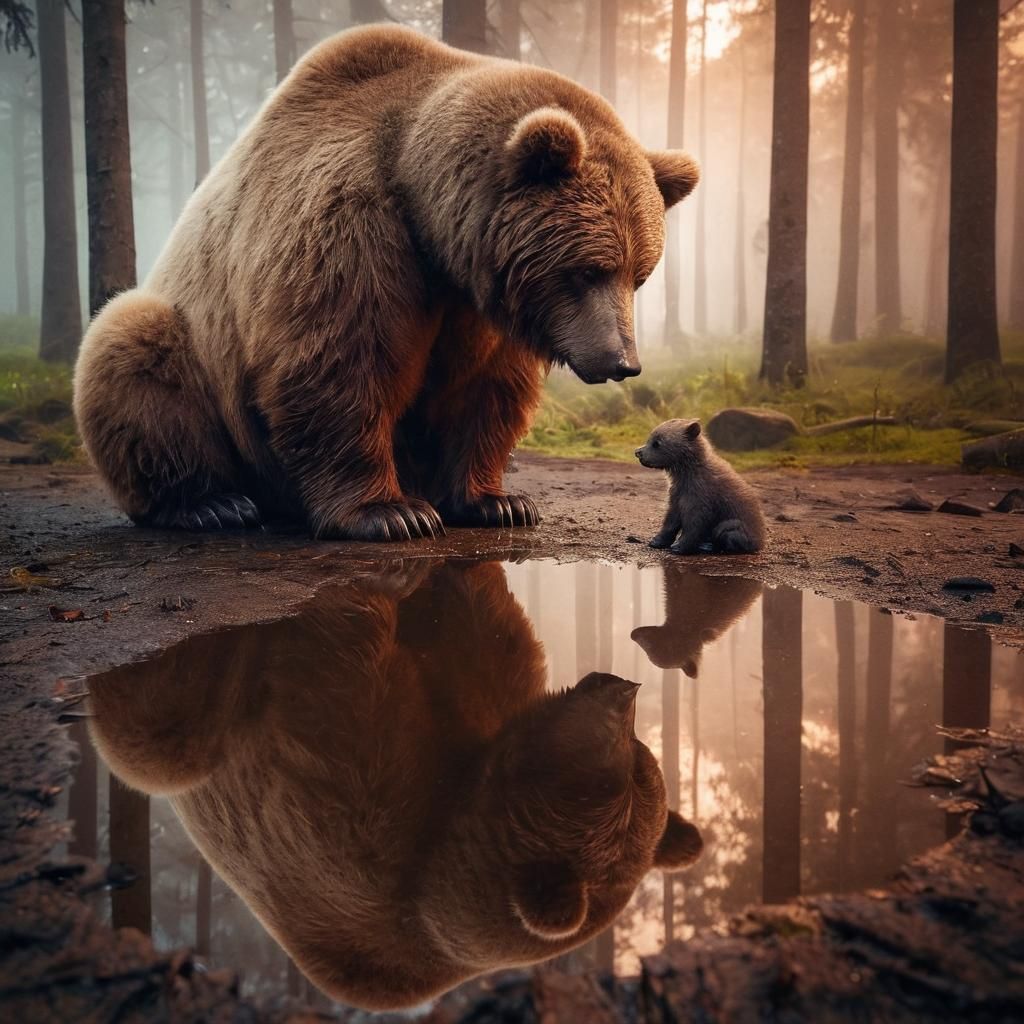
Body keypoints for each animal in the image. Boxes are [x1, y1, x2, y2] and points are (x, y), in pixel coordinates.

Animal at [73, 25, 699, 540]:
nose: (623, 362)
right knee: (134, 349)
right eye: (589, 270)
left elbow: (482, 389)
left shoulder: (477, 301)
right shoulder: (354, 231)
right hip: (193, 347)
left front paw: (498, 501)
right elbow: (342, 365)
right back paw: (211, 503)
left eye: (639, 275)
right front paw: (392, 512)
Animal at [85, 559, 702, 1010]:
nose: (621, 686)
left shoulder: (363, 818)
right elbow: (483, 631)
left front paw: (376, 590)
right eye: (634, 761)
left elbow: (345, 679)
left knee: (156, 737)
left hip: (180, 739)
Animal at [634, 418, 766, 555]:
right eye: (650, 438)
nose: (638, 452)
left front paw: (679, 546)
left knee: (725, 531)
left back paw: (710, 546)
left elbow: (695, 521)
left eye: (657, 443)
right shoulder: (678, 491)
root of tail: (760, 542)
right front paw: (657, 541)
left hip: (739, 524)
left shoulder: (701, 493)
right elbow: (671, 517)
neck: (686, 472)